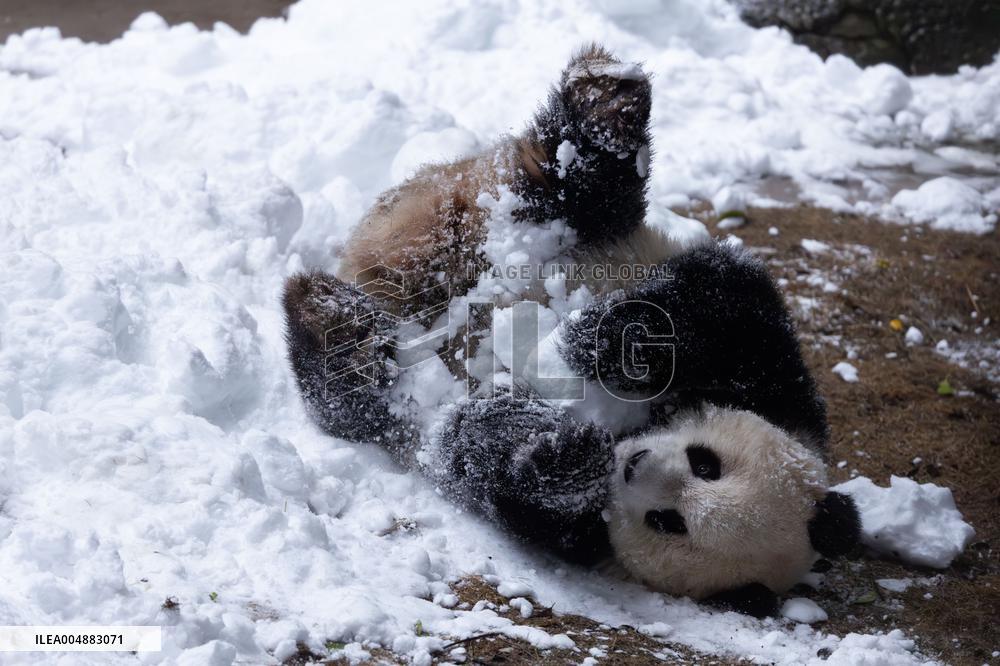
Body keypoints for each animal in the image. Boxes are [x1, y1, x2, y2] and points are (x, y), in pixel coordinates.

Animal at [283, 45, 861, 617]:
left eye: (670, 522)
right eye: (707, 463)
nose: (635, 467)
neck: (640, 424)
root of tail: (379, 273)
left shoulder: (582, 536)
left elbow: (495, 466)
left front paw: (563, 456)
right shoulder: (778, 381)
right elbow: (724, 297)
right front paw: (606, 344)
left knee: (357, 399)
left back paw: (335, 329)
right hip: (507, 217)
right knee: (578, 186)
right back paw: (607, 102)